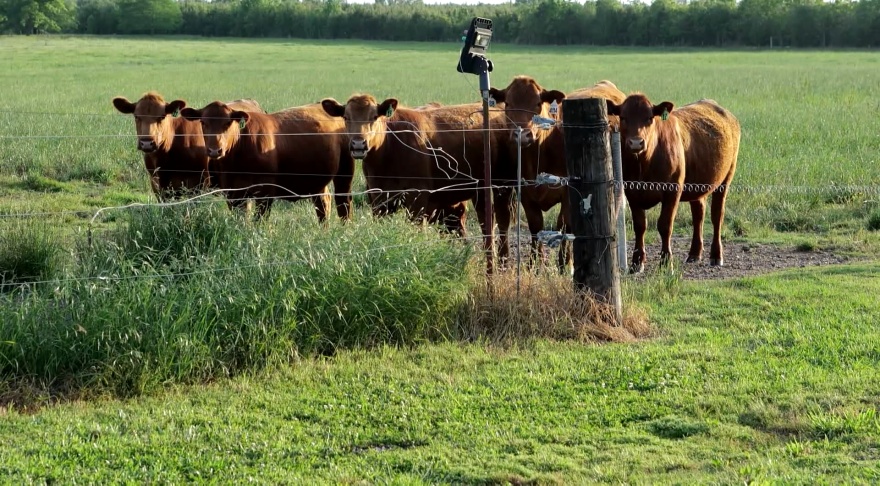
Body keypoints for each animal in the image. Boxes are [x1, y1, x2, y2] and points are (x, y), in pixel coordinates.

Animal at [179, 101, 354, 222]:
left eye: (228, 123)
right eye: (203, 122)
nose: (215, 150)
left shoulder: (266, 192)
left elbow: (259, 220)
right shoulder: (233, 193)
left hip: (344, 173)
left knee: (343, 203)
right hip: (317, 181)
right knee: (323, 203)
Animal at [320, 94, 510, 264]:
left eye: (374, 117)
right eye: (346, 117)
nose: (358, 144)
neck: (389, 148)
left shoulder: (417, 199)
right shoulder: (379, 200)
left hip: (498, 188)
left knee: (496, 223)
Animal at [489, 76, 626, 270]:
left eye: (538, 103)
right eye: (508, 103)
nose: (522, 135)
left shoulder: (569, 191)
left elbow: (566, 225)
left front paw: (565, 263)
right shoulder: (526, 193)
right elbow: (536, 227)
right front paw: (534, 264)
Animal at [606, 94, 740, 273]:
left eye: (649, 118)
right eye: (623, 117)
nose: (636, 142)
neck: (645, 162)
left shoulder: (672, 191)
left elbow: (665, 225)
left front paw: (666, 262)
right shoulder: (631, 193)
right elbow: (640, 226)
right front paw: (637, 262)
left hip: (725, 179)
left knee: (717, 216)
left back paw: (716, 255)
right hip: (697, 185)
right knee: (698, 215)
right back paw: (694, 253)